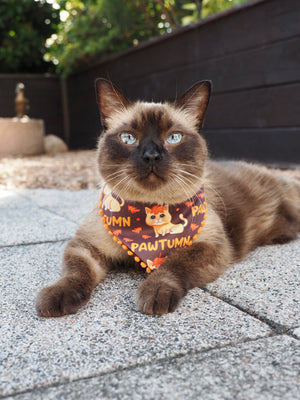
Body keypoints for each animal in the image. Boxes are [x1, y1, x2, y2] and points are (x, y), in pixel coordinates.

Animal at [36, 77, 300, 316]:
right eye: (128, 138)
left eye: (174, 137)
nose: (152, 156)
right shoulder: (86, 245)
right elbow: (76, 272)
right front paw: (56, 297)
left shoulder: (210, 246)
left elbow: (173, 264)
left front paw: (154, 294)